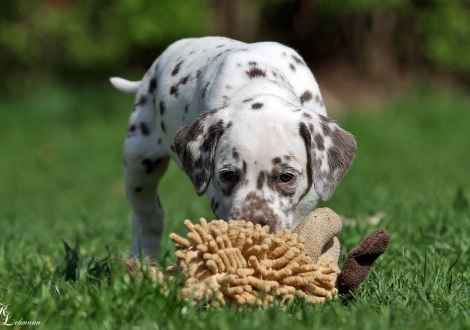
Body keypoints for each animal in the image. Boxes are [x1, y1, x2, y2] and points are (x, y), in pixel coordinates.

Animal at [110, 36, 356, 258]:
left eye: (286, 177)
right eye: (228, 175)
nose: (255, 226)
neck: (260, 82)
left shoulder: (308, 200)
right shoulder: (214, 192)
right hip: (138, 162)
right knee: (148, 216)